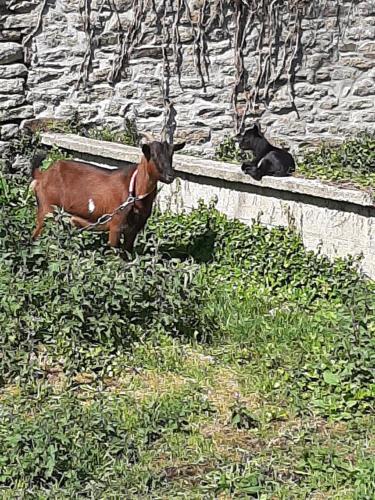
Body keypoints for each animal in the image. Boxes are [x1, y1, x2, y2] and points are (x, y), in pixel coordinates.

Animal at [30, 141, 186, 250]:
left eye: (171, 155)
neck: (134, 190)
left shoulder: (134, 229)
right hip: (47, 210)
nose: (170, 176)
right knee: (36, 237)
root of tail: (42, 175)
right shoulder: (115, 225)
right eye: (153, 156)